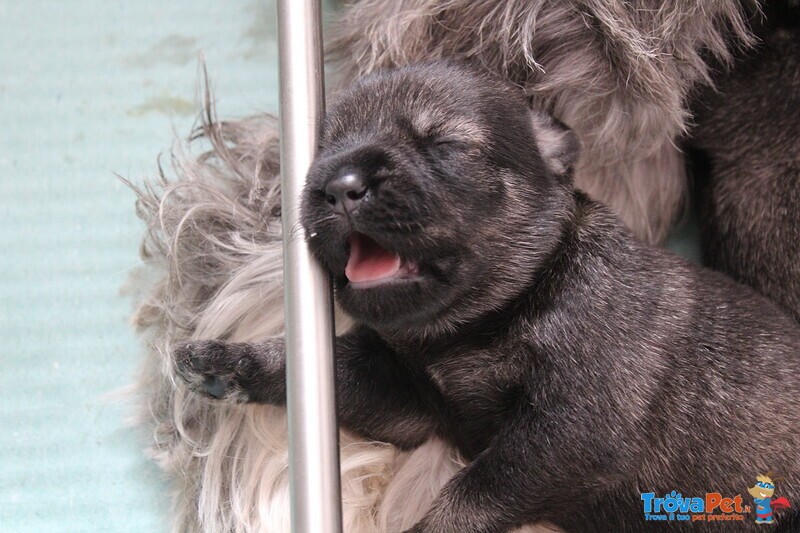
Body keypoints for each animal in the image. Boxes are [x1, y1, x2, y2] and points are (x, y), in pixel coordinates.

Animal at [175, 63, 800, 532]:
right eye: (323, 151)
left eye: (444, 144)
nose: (338, 184)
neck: (480, 322)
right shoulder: (407, 398)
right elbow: (318, 366)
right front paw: (230, 362)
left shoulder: (565, 433)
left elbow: (465, 499)